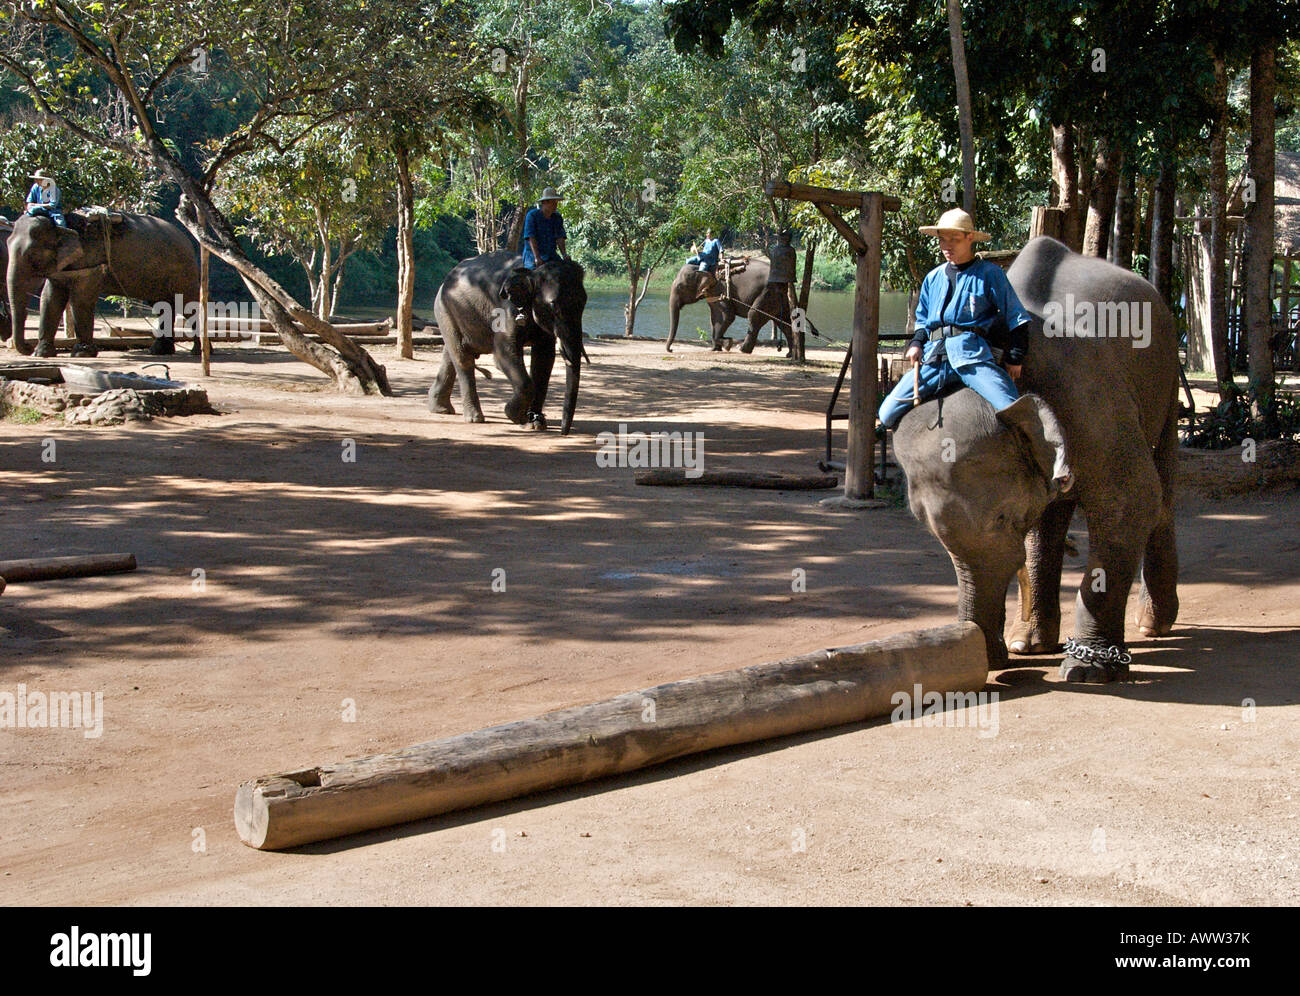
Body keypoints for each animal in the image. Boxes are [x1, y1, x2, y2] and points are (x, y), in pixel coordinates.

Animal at [3, 210, 201, 358]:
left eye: (32, 255)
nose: (27, 347)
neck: (63, 222)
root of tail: (189, 241)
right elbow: (50, 298)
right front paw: (41, 353)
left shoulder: (91, 261)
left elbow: (80, 299)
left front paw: (82, 354)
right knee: (161, 306)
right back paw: (158, 351)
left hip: (185, 272)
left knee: (186, 306)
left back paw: (196, 352)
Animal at [426, 252, 590, 434]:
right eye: (553, 306)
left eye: (584, 302)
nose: (563, 432)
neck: (532, 272)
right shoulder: (507, 309)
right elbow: (503, 354)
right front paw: (515, 416)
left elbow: (544, 359)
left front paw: (535, 423)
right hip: (445, 309)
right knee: (462, 359)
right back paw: (474, 418)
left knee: (451, 354)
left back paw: (440, 409)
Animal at [894, 236, 1180, 681]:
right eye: (926, 527)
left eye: (1003, 517)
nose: (987, 660)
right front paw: (1006, 654)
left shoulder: (1089, 402)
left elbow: (1129, 501)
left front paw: (1087, 671)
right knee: (1051, 519)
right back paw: (1028, 643)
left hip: (1165, 378)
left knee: (1162, 489)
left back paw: (1153, 625)